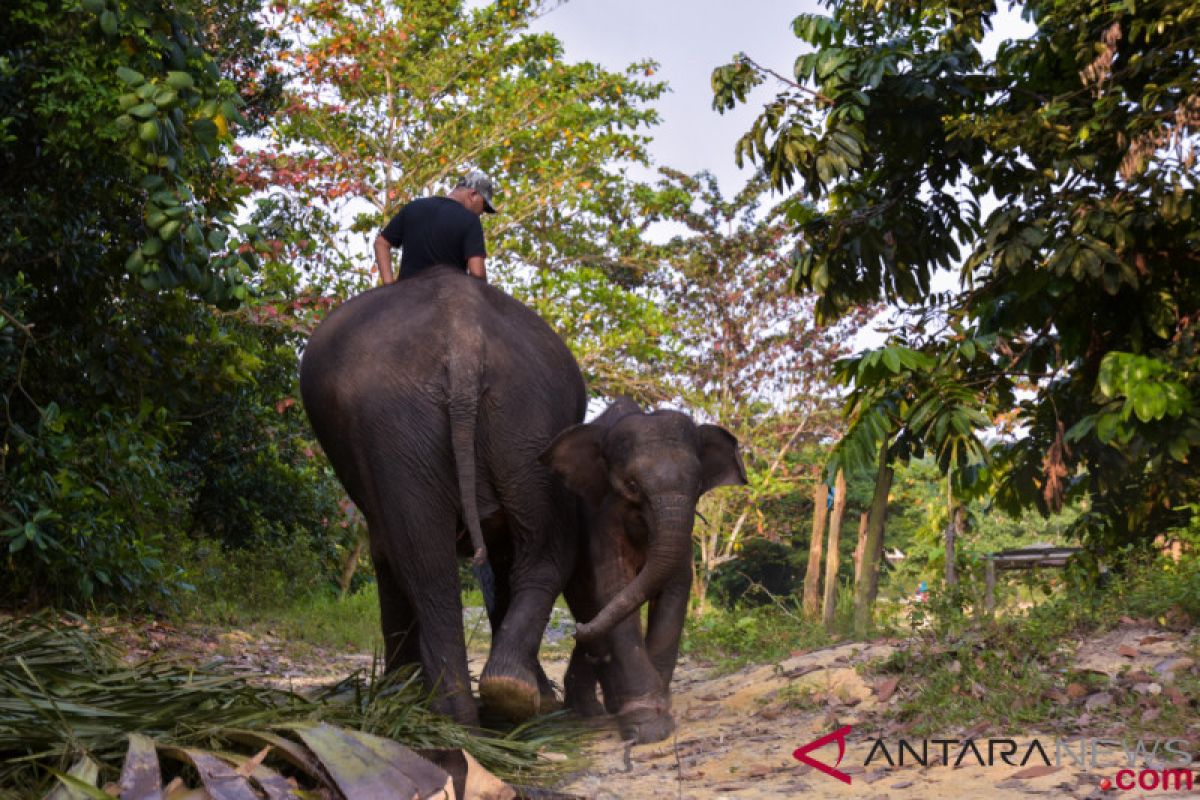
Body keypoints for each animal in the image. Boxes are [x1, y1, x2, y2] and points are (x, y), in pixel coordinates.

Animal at [297, 267, 583, 724]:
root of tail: (463, 337)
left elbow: (387, 553)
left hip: (406, 425)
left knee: (425, 561)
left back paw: (455, 708)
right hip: (525, 417)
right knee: (514, 550)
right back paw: (496, 699)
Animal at [542, 398, 744, 743]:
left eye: (698, 484)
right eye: (632, 485)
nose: (576, 631)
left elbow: (676, 586)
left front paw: (658, 705)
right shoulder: (600, 517)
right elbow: (613, 586)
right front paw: (647, 724)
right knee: (589, 603)